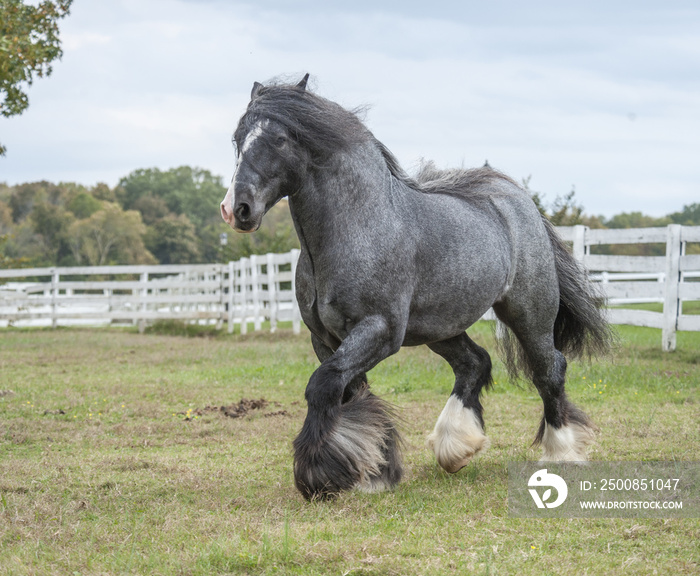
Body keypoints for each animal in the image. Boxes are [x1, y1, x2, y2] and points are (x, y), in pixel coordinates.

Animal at [221, 75, 608, 500]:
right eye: (237, 139)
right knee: (474, 363)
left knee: (548, 370)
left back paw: (561, 452)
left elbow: (323, 386)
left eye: (279, 139)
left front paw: (319, 475)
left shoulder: (380, 329)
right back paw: (456, 447)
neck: (359, 226)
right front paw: (375, 471)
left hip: (529, 314)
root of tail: (520, 202)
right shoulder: (326, 338)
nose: (237, 209)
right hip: (440, 327)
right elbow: (349, 392)